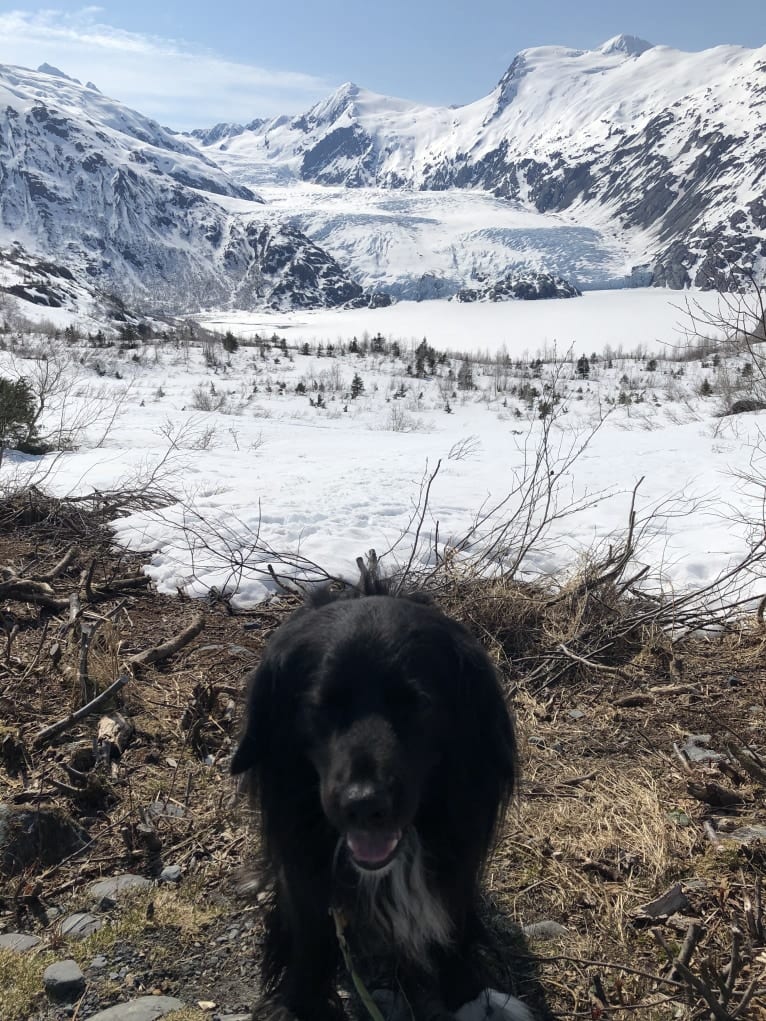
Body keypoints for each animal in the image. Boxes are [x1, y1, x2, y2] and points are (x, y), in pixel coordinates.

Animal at [230, 588, 527, 1021]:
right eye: (321, 706)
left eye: (418, 703)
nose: (364, 805)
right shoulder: (305, 878)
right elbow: (308, 938)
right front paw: (299, 1003)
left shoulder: (457, 864)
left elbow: (453, 927)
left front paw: (468, 996)